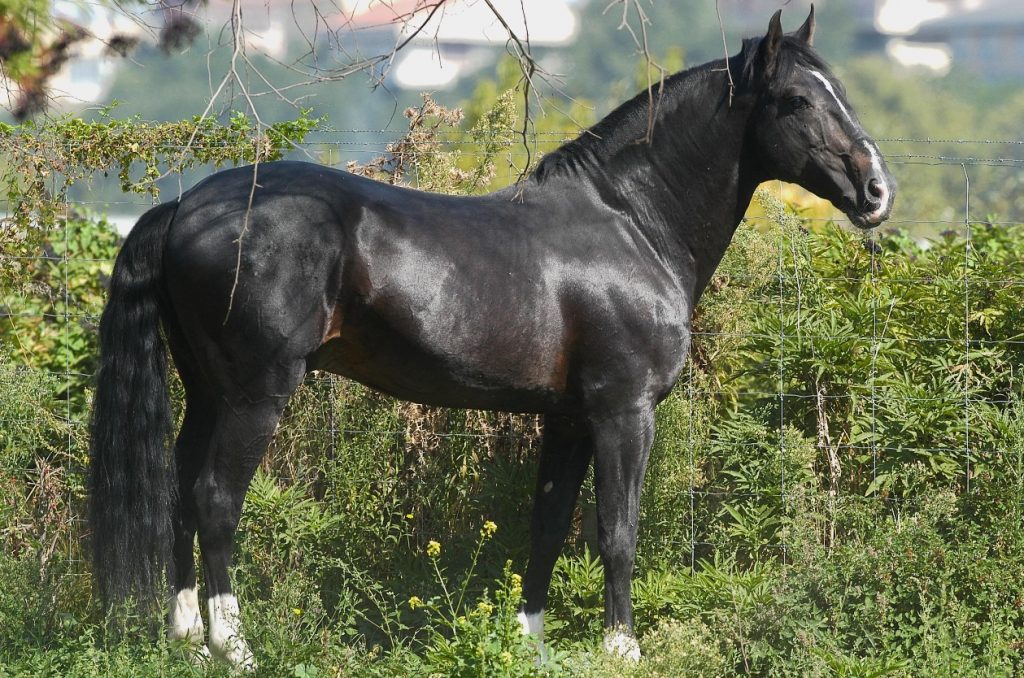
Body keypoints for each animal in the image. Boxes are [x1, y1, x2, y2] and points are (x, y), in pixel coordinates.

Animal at [89, 6, 893, 668]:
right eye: (796, 100)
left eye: (842, 93)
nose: (876, 191)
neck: (629, 223)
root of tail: (186, 207)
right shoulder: (623, 412)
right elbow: (616, 530)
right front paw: (622, 649)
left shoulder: (568, 419)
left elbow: (546, 526)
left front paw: (527, 642)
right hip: (256, 394)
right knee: (217, 499)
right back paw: (234, 648)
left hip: (207, 391)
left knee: (182, 492)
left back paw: (188, 638)